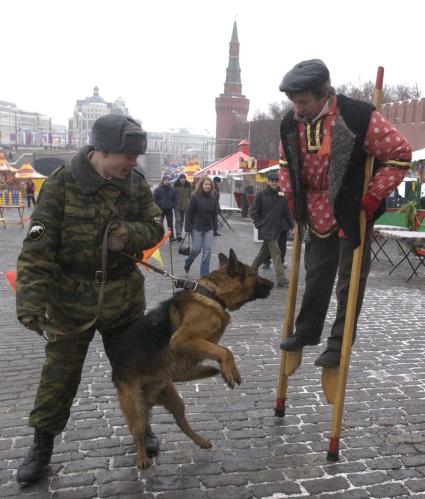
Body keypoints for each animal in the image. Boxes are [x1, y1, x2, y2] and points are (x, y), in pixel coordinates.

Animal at [111, 252, 274, 470]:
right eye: (254, 275)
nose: (273, 283)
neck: (212, 294)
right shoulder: (182, 340)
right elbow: (225, 351)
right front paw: (229, 371)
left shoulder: (199, 343)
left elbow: (222, 350)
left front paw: (230, 371)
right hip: (135, 410)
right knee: (138, 433)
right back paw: (142, 457)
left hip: (174, 398)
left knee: (181, 421)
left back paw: (201, 439)